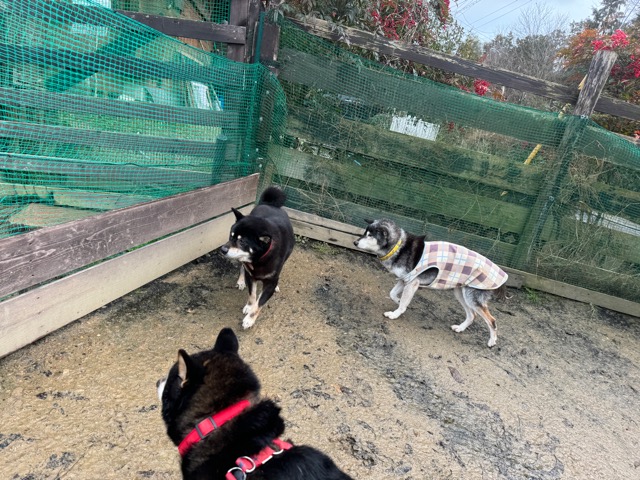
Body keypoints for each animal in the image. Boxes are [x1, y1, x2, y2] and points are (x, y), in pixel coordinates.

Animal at [220, 186, 294, 329]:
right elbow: (252, 295)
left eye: (242, 241)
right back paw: (241, 281)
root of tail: (269, 204)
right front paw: (249, 306)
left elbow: (260, 303)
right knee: (242, 268)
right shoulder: (251, 276)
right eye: (231, 236)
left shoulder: (270, 283)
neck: (259, 260)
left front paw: (249, 319)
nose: (223, 249)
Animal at [354, 219, 508, 347]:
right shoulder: (405, 280)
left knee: (492, 320)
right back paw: (460, 328)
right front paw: (397, 301)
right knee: (472, 315)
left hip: (472, 297)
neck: (399, 247)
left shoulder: (412, 283)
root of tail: (501, 273)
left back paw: (492, 341)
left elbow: (403, 303)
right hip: (461, 293)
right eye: (364, 233)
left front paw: (395, 314)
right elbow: (392, 294)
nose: (355, 243)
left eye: (370, 235)